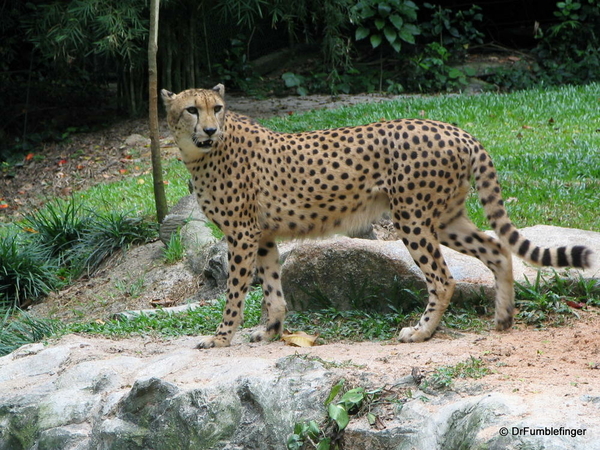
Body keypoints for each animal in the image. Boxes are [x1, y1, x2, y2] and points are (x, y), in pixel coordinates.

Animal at [162, 86, 592, 350]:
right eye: (191, 109)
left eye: (216, 108)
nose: (210, 129)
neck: (201, 153)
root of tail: (454, 129)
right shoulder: (263, 235)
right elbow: (271, 288)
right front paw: (269, 332)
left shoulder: (242, 234)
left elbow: (235, 291)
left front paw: (220, 338)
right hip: (445, 217)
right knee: (496, 249)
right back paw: (503, 319)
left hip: (412, 217)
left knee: (443, 278)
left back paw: (420, 332)